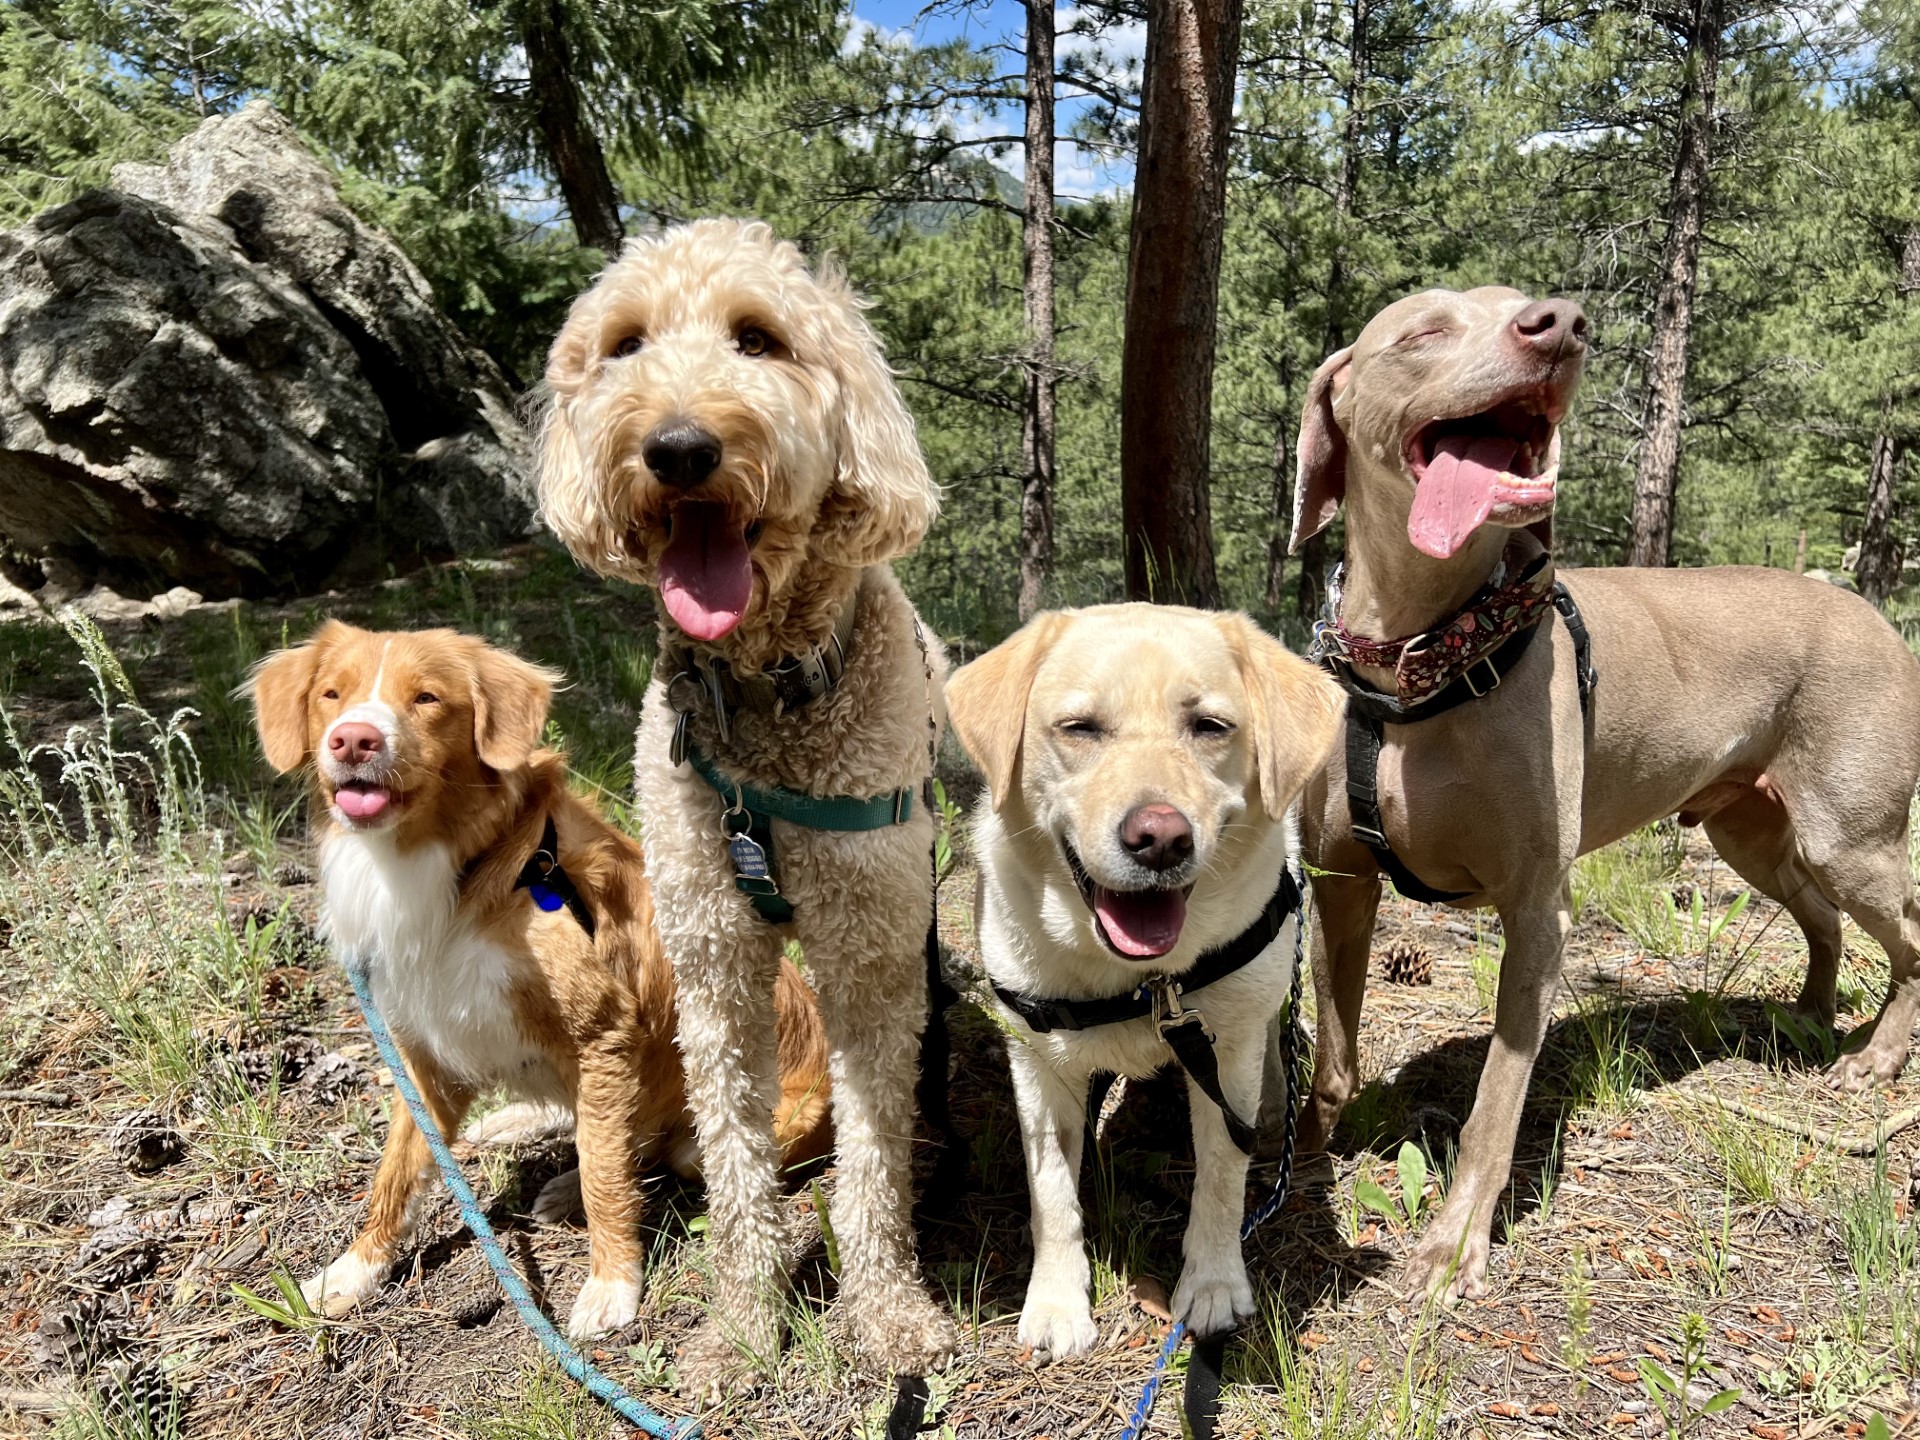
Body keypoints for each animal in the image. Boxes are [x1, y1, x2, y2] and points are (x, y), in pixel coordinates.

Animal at [247, 625, 833, 1351]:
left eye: (427, 699)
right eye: (332, 694)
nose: (353, 740)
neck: (462, 868)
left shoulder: (605, 1032)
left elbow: (608, 1168)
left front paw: (613, 1285)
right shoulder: (423, 1053)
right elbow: (397, 1173)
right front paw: (353, 1271)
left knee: (647, 1147)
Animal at [533, 219, 952, 1405]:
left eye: (758, 338)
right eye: (625, 344)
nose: (677, 448)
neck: (766, 693)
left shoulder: (869, 957)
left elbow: (871, 1157)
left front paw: (884, 1314)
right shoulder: (713, 960)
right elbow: (732, 1149)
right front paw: (745, 1325)